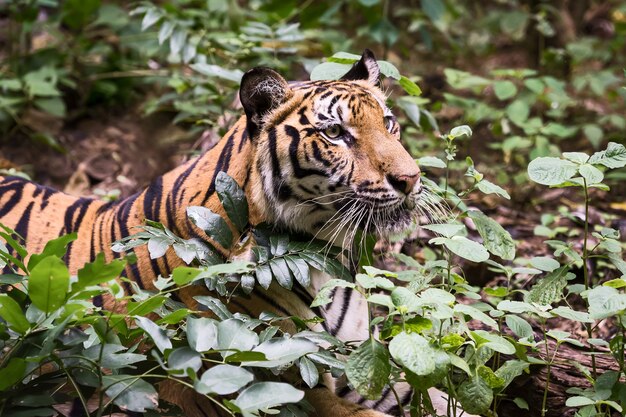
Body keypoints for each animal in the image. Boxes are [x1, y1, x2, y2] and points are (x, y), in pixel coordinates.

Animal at [0, 50, 444, 414]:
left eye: (389, 124)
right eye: (335, 133)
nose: (411, 178)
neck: (325, 258)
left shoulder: (363, 361)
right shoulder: (294, 376)